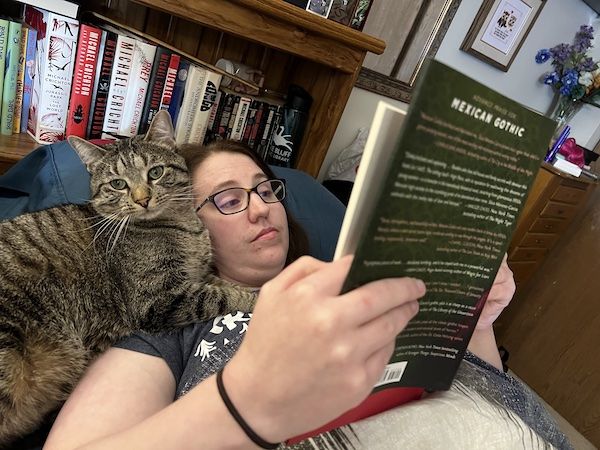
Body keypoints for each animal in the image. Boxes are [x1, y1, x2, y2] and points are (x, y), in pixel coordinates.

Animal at [0, 110, 255, 444]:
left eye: (156, 172)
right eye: (118, 184)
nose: (143, 198)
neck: (184, 227)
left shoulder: (199, 276)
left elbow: (227, 285)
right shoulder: (160, 300)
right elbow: (226, 296)